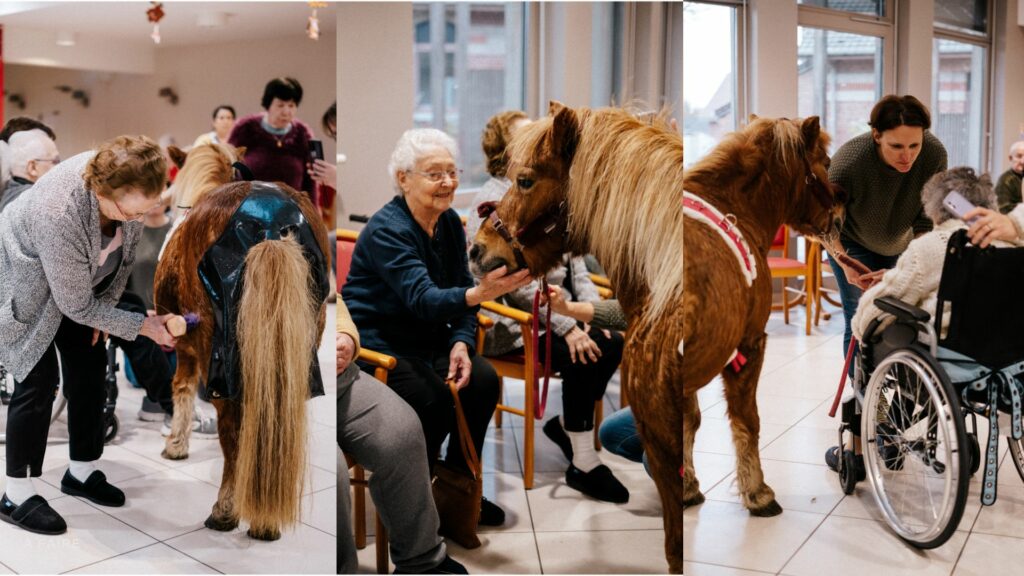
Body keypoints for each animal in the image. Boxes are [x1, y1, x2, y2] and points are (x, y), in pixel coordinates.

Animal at [153, 180, 327, 537]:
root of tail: (273, 227)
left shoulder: (184, 346)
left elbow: (181, 388)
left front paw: (176, 445)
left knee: (232, 429)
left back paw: (226, 512)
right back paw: (265, 520)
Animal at [468, 101, 843, 569]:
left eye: (525, 179)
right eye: (825, 161)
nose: (477, 249)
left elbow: (707, 427)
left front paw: (715, 490)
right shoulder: (745, 350)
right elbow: (741, 422)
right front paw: (754, 493)